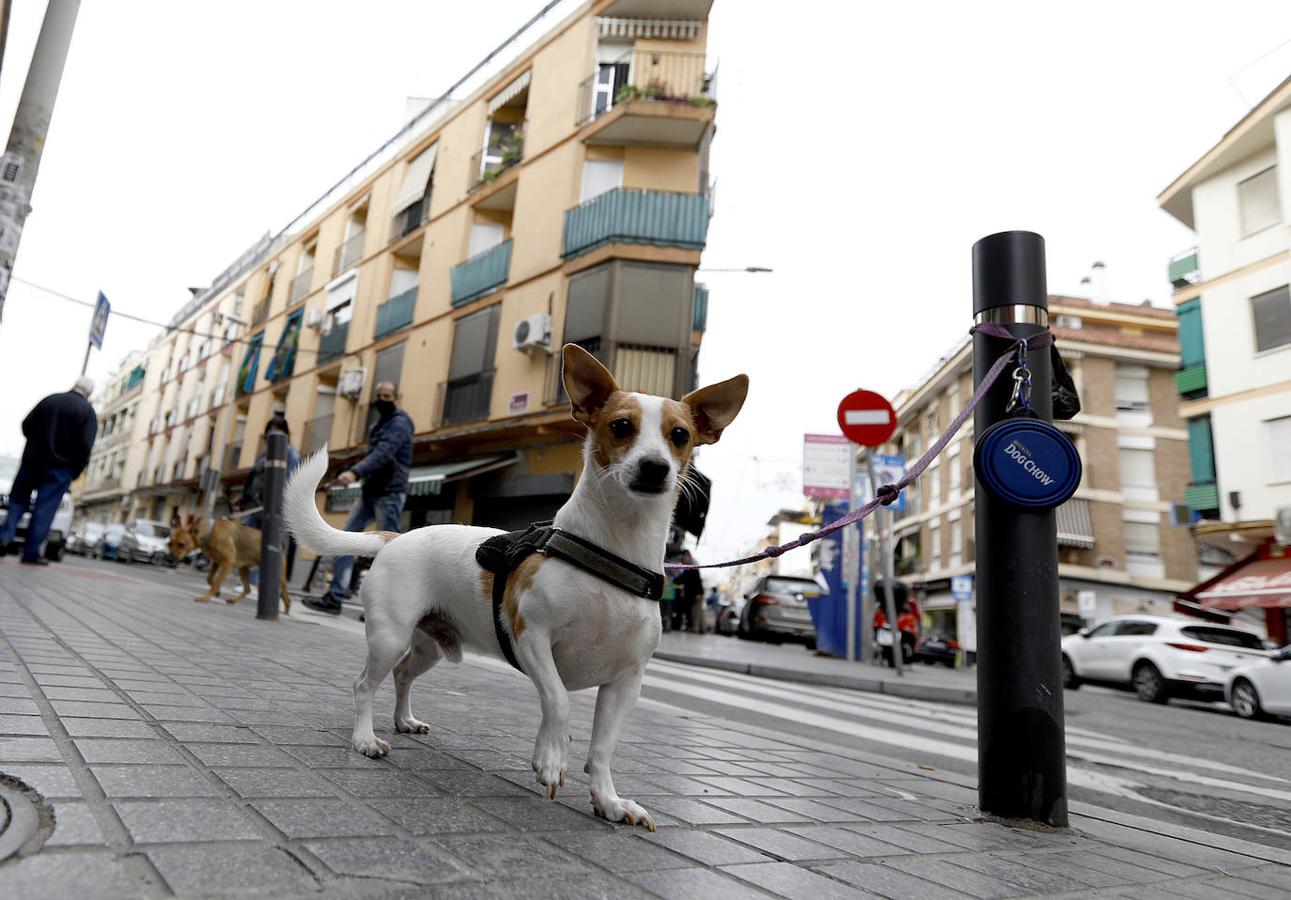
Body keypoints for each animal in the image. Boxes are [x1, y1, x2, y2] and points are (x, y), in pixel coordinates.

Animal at [282, 346, 748, 826]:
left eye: (680, 435)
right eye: (621, 426)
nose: (655, 467)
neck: (613, 551)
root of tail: (395, 537)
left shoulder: (626, 682)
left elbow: (602, 748)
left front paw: (609, 800)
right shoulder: (532, 638)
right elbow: (559, 701)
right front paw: (551, 757)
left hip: (430, 647)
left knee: (403, 674)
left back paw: (404, 720)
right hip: (389, 637)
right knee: (364, 685)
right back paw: (364, 739)